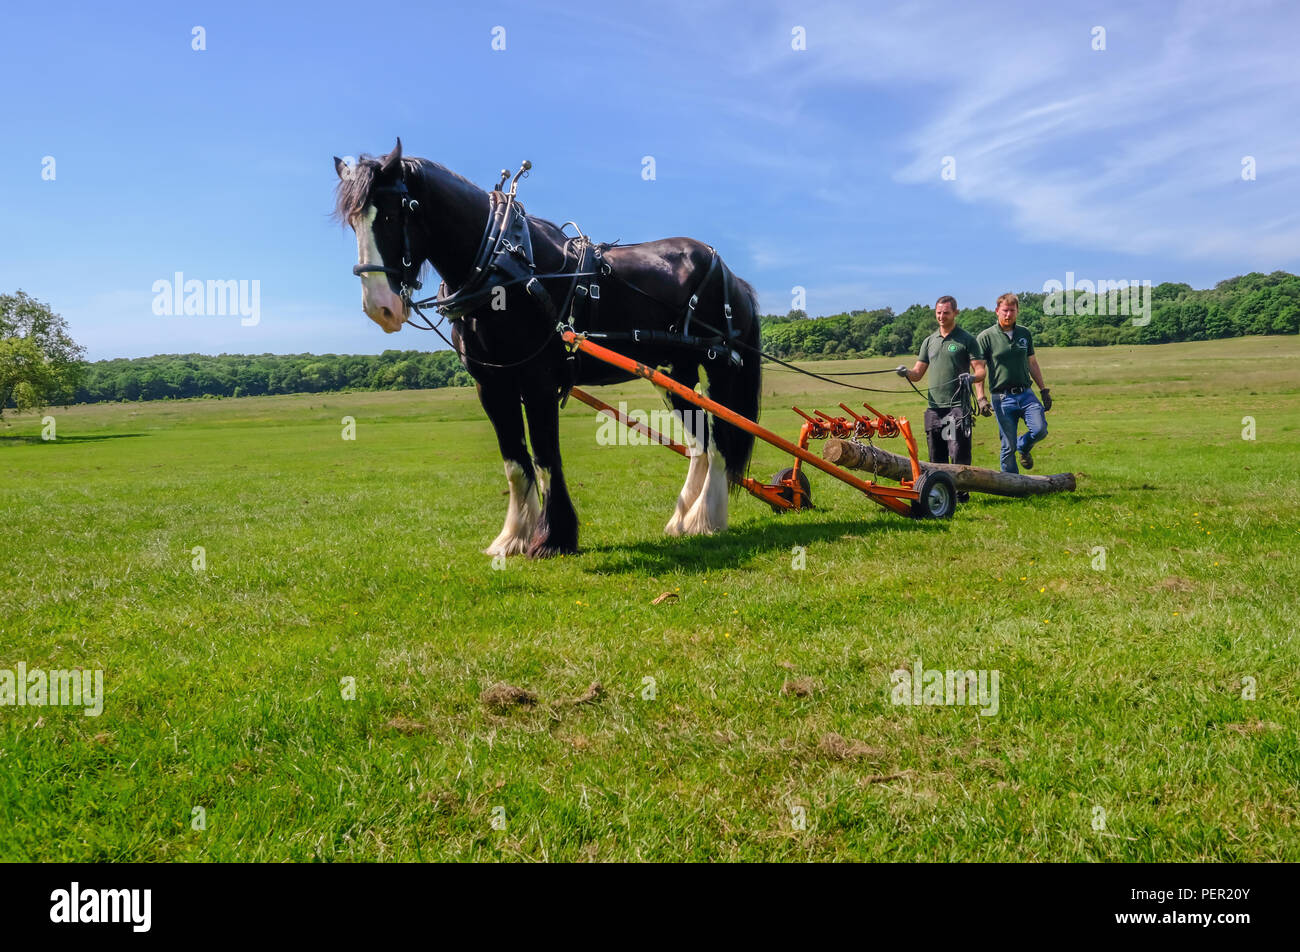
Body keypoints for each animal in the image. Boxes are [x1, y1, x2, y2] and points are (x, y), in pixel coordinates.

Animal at [332, 141, 759, 556]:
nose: (380, 307)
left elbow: (544, 457)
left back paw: (707, 517)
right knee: (701, 442)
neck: (502, 264)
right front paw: (513, 537)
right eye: (353, 222)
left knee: (721, 439)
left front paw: (553, 537)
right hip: (674, 372)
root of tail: (730, 274)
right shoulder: (491, 384)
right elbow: (514, 460)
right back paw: (683, 519)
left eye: (391, 215)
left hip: (719, 365)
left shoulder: (538, 379)